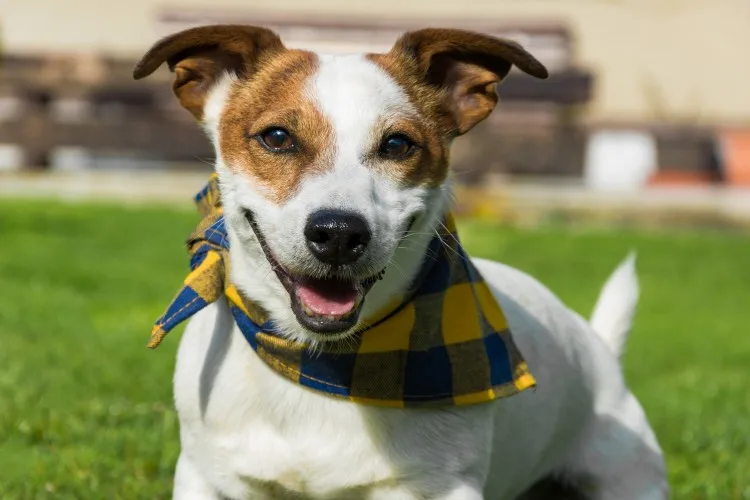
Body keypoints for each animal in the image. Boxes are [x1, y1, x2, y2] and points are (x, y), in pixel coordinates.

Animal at [134, 25, 668, 499]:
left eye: (396, 145)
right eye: (278, 137)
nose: (339, 233)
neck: (321, 362)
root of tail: (598, 347)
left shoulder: (444, 488)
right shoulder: (206, 478)